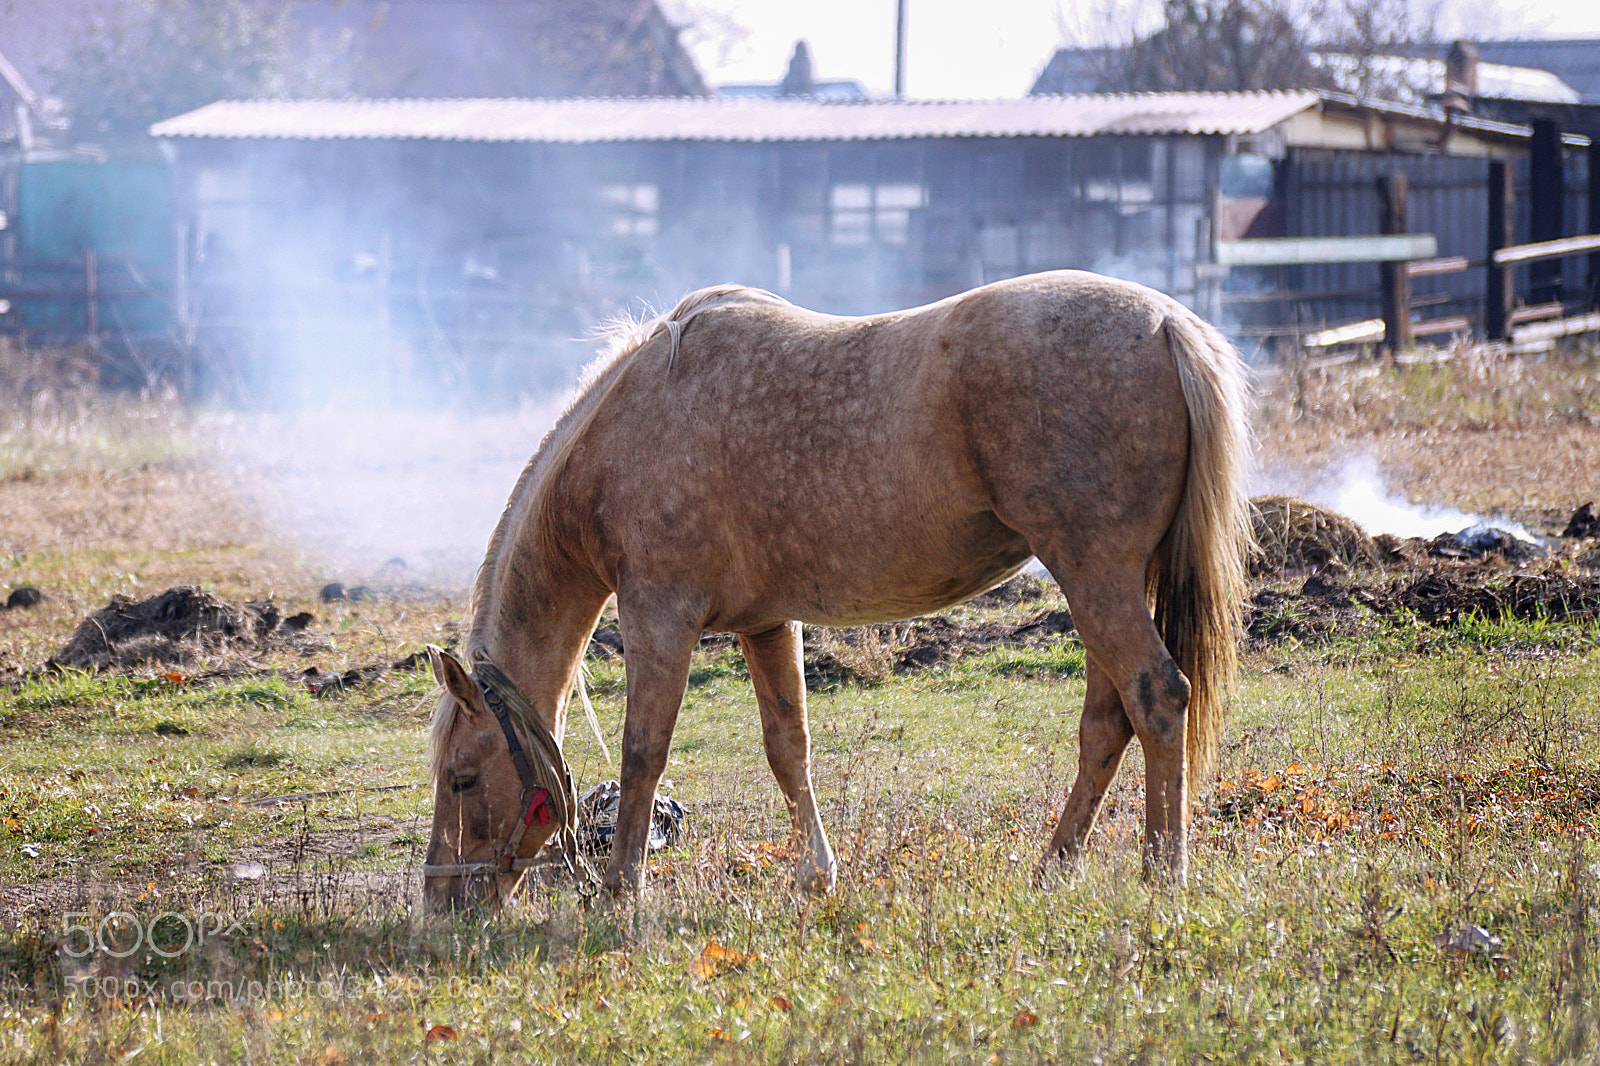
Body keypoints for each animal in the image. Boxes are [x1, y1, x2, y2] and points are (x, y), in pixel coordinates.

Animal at [421, 269, 1252, 911]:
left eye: (463, 778)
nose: (442, 900)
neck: (628, 433)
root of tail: (1168, 325)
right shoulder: (765, 624)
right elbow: (788, 748)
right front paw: (815, 877)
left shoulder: (661, 615)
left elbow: (643, 752)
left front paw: (625, 888)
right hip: (1107, 580)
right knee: (1108, 724)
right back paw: (1056, 867)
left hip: (1094, 574)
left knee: (1157, 698)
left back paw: (1162, 876)